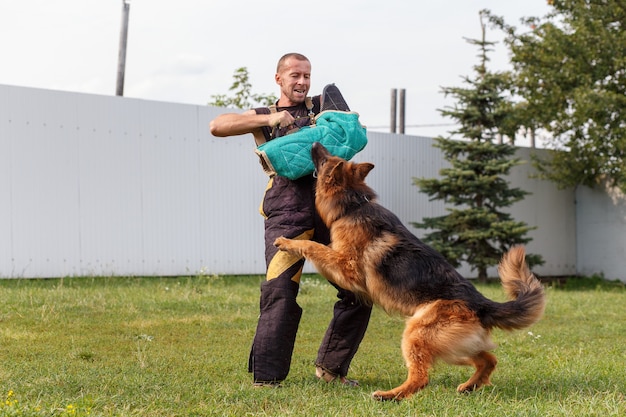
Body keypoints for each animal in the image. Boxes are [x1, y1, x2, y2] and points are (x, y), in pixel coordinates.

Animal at [274, 142, 544, 400]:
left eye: (325, 160)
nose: (314, 142)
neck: (353, 205)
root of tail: (481, 303)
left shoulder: (347, 266)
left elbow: (315, 246)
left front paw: (288, 242)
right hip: (451, 347)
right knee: (489, 359)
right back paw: (469, 386)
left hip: (416, 334)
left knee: (421, 378)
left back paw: (389, 396)